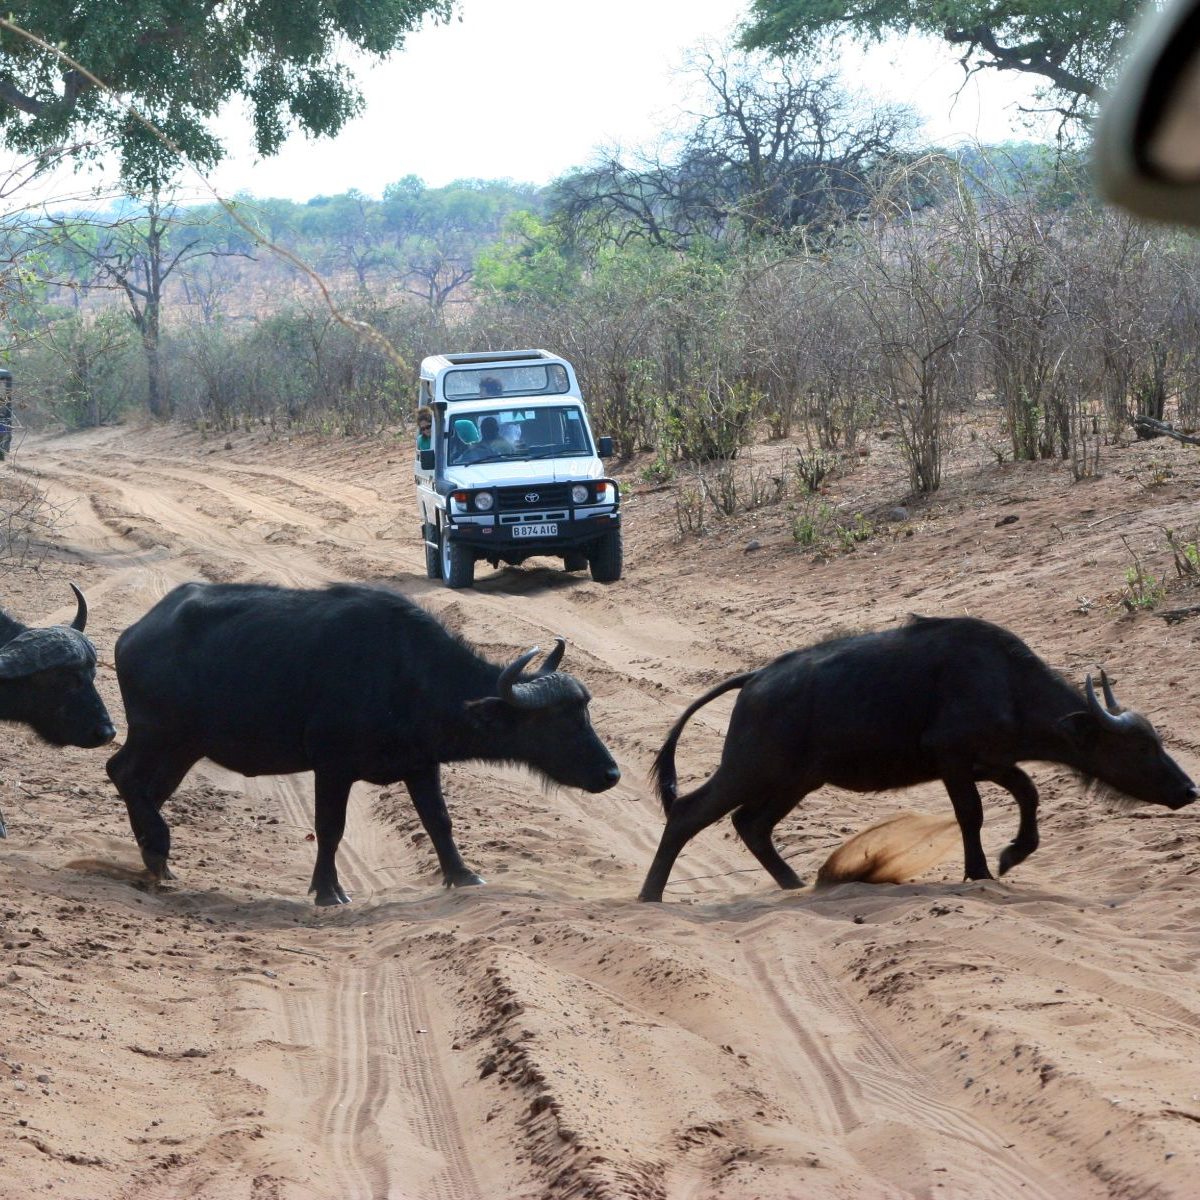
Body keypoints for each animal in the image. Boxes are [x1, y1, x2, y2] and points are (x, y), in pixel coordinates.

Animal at [106, 581, 620, 904]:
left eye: (585, 712)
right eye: (559, 722)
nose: (611, 773)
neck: (406, 674)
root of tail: (134, 635)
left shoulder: (421, 764)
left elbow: (439, 822)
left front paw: (462, 875)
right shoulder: (332, 767)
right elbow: (330, 828)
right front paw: (327, 890)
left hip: (183, 747)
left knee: (146, 788)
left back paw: (155, 857)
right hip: (158, 734)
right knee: (122, 772)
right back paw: (158, 848)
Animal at [639, 615, 1196, 902]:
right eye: (1142, 746)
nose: (1189, 789)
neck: (1006, 684)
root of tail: (754, 679)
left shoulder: (991, 761)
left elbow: (1028, 793)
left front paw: (1014, 853)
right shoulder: (953, 760)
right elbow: (972, 814)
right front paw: (980, 871)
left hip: (796, 780)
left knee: (750, 825)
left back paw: (795, 884)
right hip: (751, 768)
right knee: (689, 813)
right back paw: (650, 895)